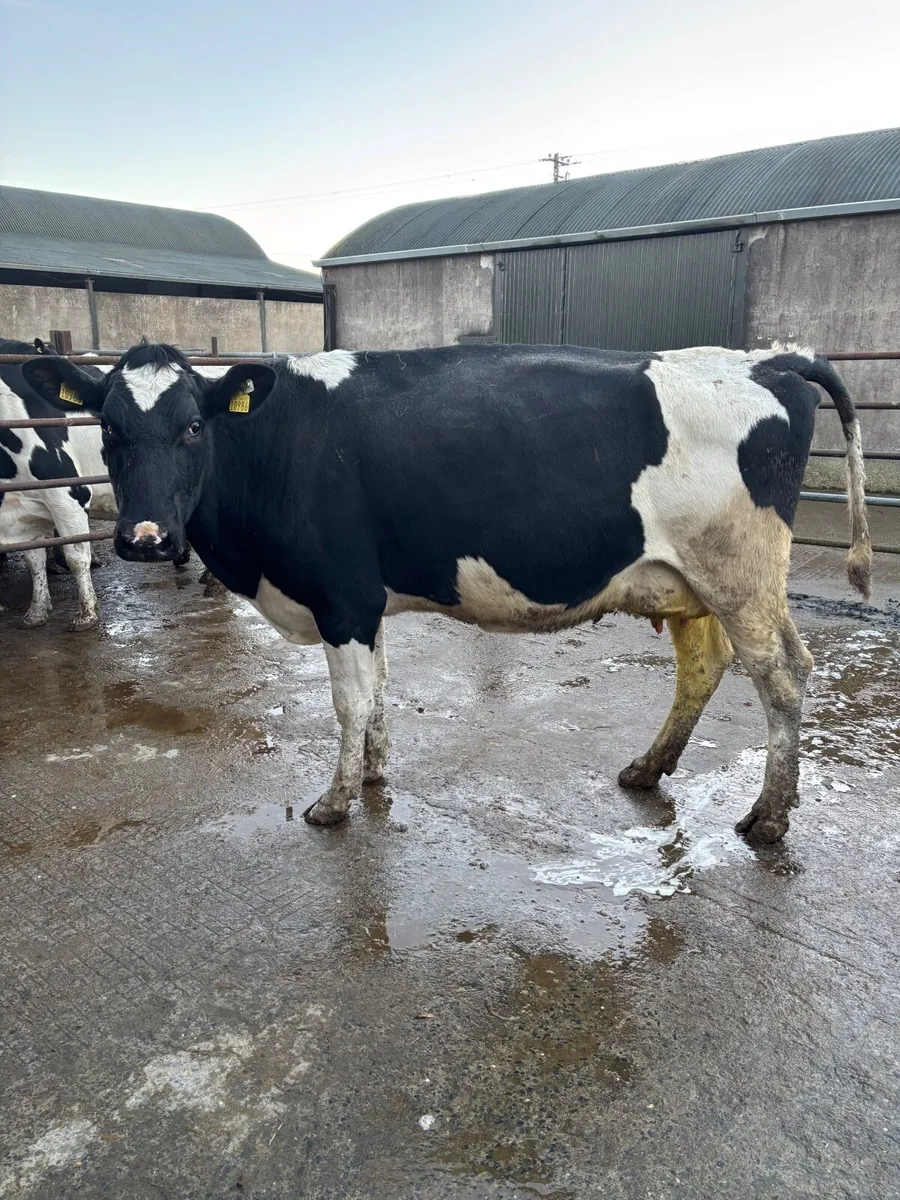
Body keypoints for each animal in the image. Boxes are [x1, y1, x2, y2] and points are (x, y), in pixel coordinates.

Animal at [23, 340, 871, 843]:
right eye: (109, 429)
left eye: (195, 426)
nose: (144, 539)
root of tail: (770, 360)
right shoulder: (364, 603)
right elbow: (378, 694)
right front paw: (372, 774)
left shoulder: (341, 597)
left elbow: (350, 703)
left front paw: (333, 802)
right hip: (687, 579)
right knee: (703, 665)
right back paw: (646, 768)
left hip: (741, 575)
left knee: (783, 676)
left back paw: (768, 816)